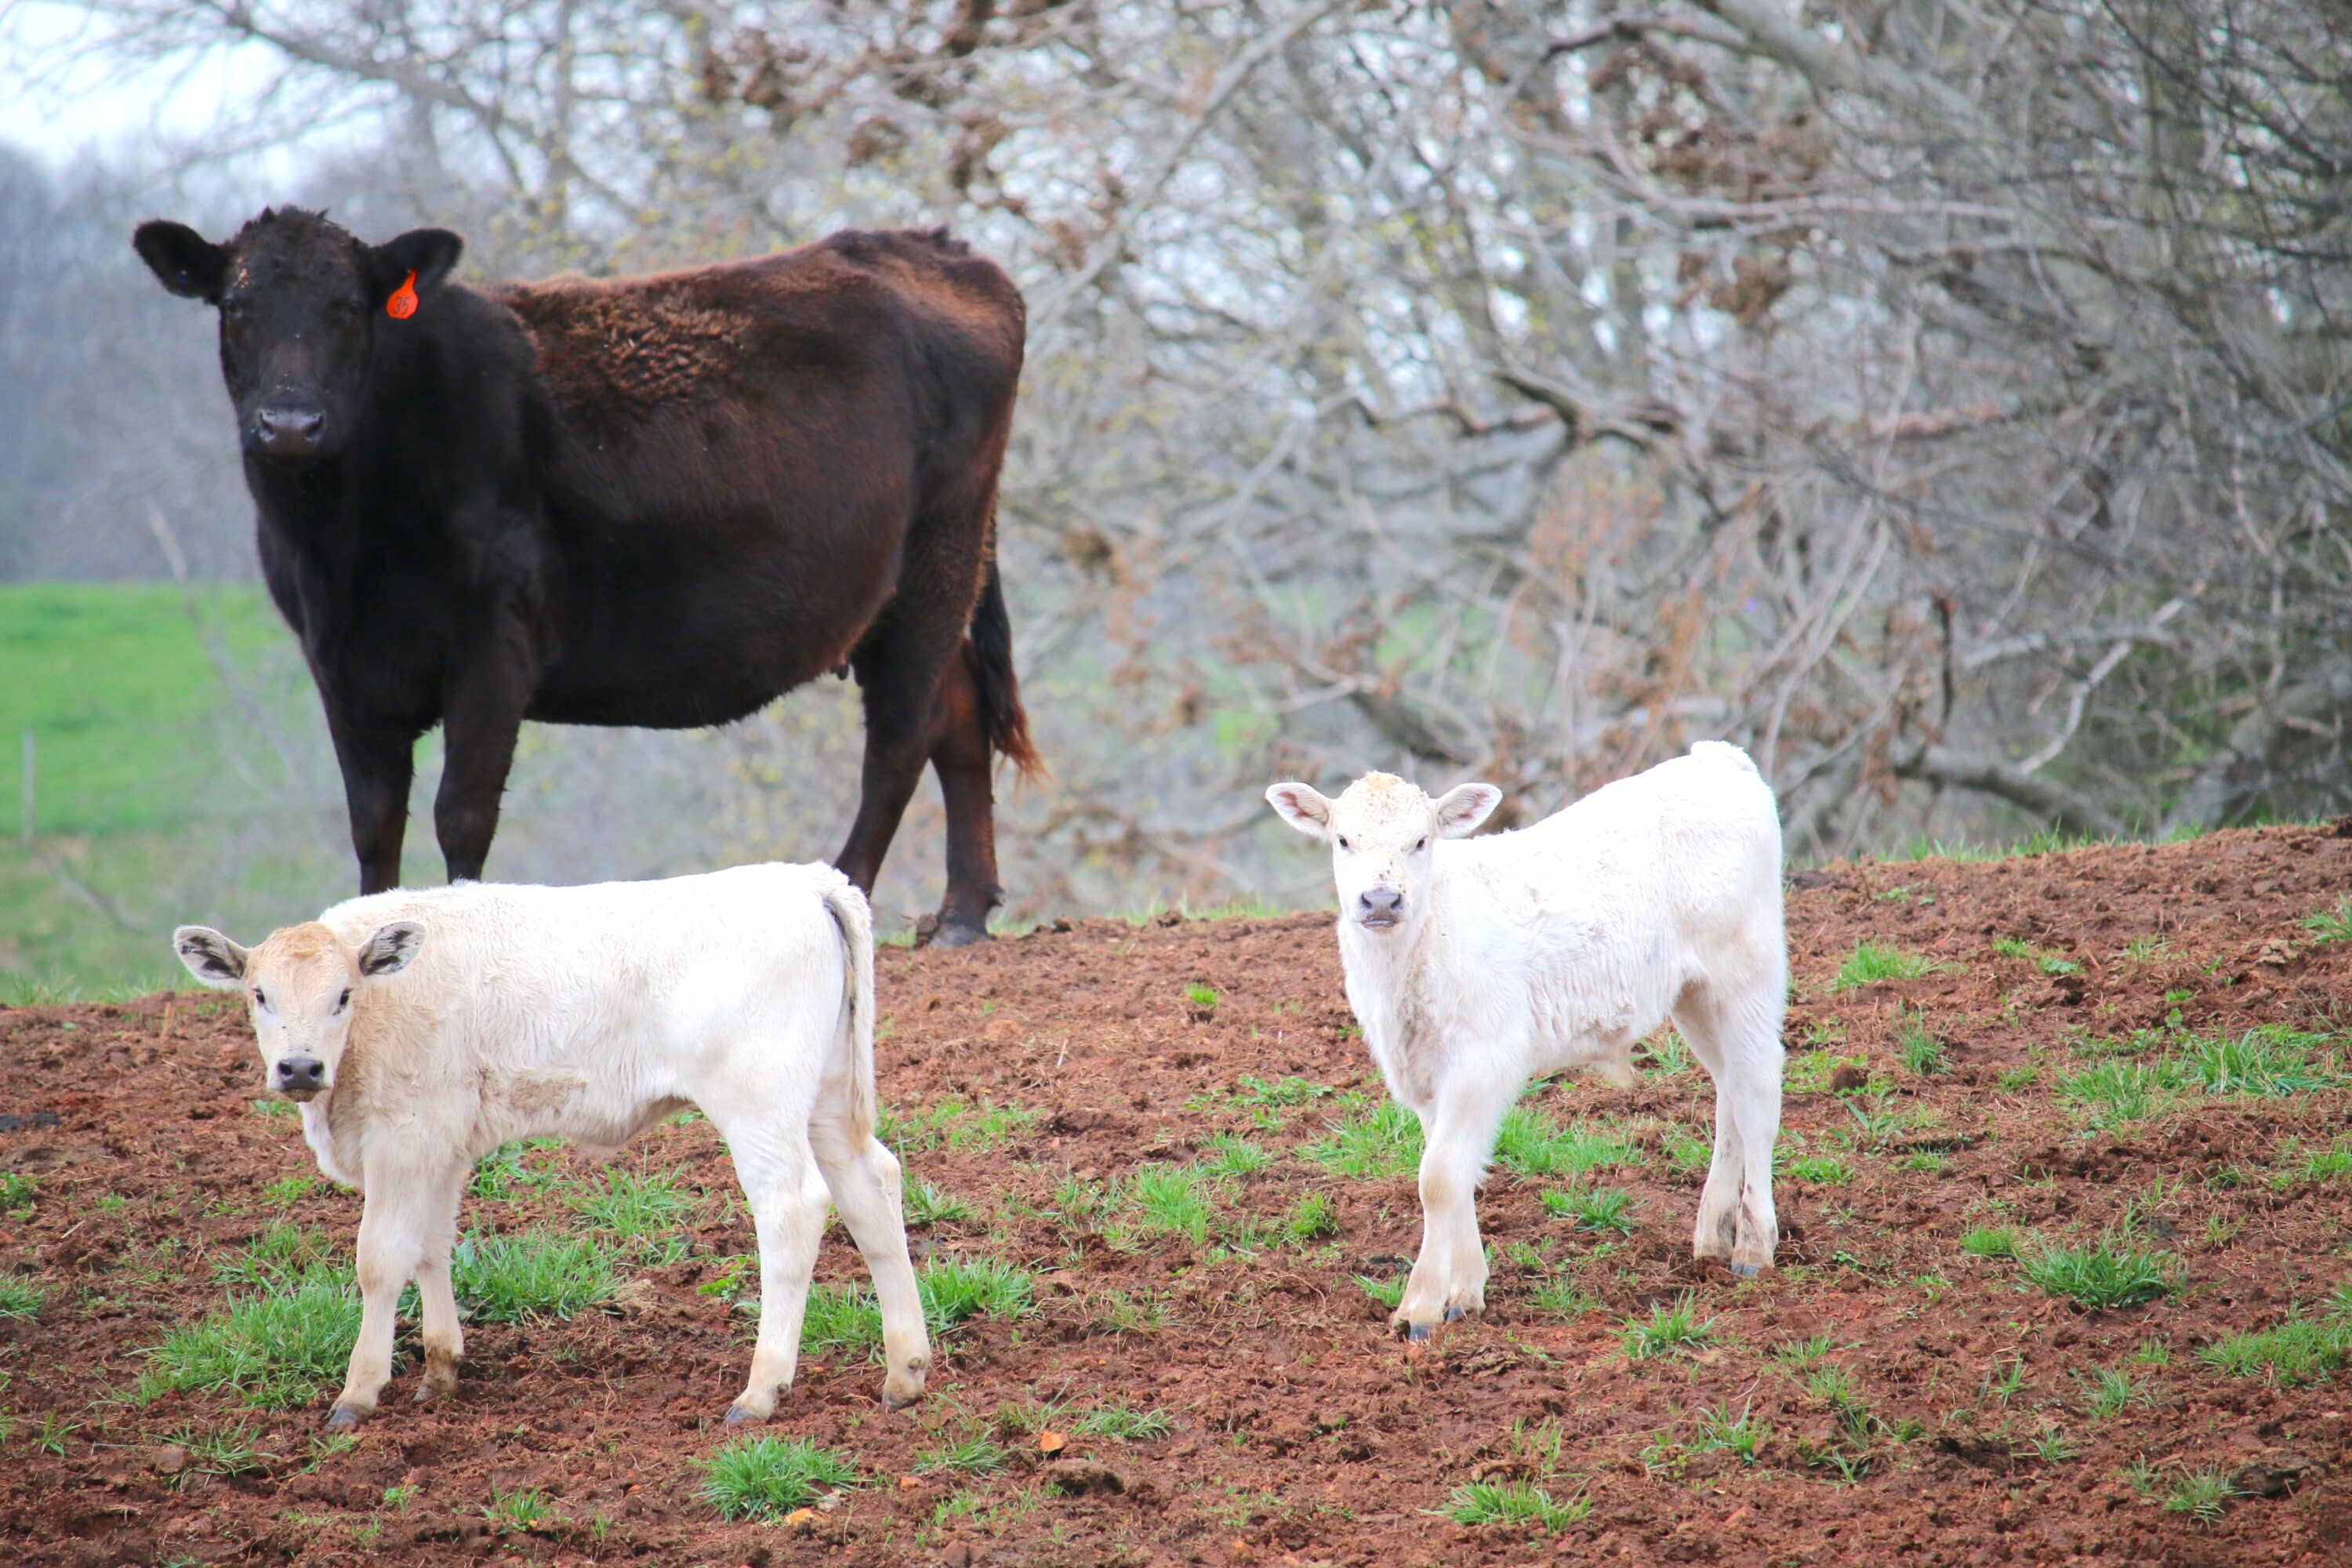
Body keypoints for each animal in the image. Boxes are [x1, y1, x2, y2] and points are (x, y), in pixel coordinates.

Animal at [135, 206, 1040, 945]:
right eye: (237, 309)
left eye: (349, 310)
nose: (290, 423)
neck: (346, 549)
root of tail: (934, 247)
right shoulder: (341, 664)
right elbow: (374, 820)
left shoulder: (494, 645)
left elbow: (462, 813)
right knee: (959, 715)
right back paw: (963, 915)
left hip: (934, 557)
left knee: (902, 735)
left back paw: (846, 893)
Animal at [170, 865, 927, 1429]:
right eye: (259, 995)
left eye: (343, 995)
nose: (299, 1068)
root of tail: (805, 879)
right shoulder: (443, 1143)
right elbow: (431, 1247)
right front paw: (442, 1369)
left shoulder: (406, 1137)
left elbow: (381, 1260)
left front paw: (358, 1392)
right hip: (827, 1099)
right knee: (872, 1189)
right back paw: (906, 1372)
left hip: (760, 1104)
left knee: (792, 1209)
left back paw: (761, 1390)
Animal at [1279, 747, 1788, 1335]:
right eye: (1343, 840)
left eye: (1421, 841)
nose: (1381, 900)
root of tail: (1719, 757)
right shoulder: (1426, 1073)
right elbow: (1455, 1172)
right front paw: (1465, 1292)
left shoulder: (1482, 1060)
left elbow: (1438, 1178)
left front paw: (1419, 1309)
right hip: (1694, 994)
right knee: (1730, 1087)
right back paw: (1713, 1234)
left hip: (1745, 970)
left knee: (1757, 1089)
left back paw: (1754, 1246)